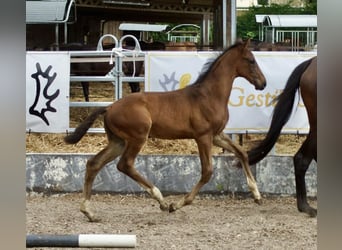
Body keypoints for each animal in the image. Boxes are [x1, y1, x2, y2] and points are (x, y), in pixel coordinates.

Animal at [65, 40, 268, 222]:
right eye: (251, 60)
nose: (263, 83)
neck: (209, 95)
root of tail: (109, 107)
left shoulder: (216, 135)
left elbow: (242, 153)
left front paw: (257, 195)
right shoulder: (203, 137)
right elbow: (207, 171)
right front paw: (177, 204)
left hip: (118, 141)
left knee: (94, 163)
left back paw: (89, 212)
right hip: (137, 137)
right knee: (125, 164)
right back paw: (161, 200)